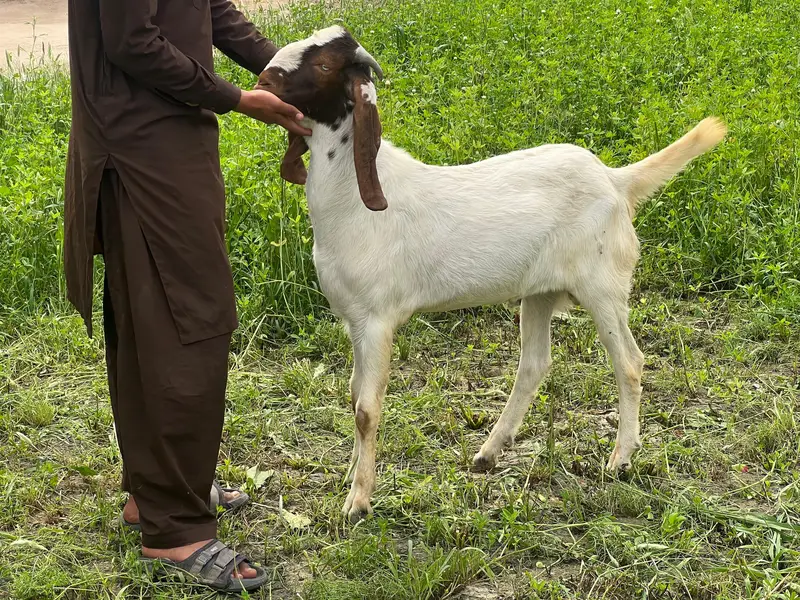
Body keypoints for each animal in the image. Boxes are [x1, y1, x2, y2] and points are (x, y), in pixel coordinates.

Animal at [256, 25, 727, 523]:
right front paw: (350, 474)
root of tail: (616, 180)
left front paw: (358, 500)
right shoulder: (352, 319)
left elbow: (367, 409)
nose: (263, 82)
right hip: (540, 292)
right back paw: (489, 452)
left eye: (326, 65)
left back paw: (619, 459)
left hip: (603, 288)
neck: (354, 198)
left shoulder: (377, 320)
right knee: (534, 364)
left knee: (630, 363)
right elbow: (351, 396)